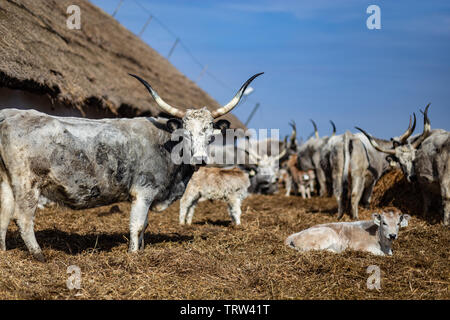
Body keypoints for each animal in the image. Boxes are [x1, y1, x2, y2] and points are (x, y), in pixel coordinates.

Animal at [0, 72, 264, 260]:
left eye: (210, 135)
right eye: (185, 133)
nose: (200, 159)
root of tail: (10, 114)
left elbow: (144, 224)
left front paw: (142, 249)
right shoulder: (143, 192)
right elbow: (136, 225)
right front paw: (134, 255)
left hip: (6, 181)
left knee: (4, 213)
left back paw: (3, 251)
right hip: (28, 184)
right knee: (23, 218)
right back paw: (39, 255)